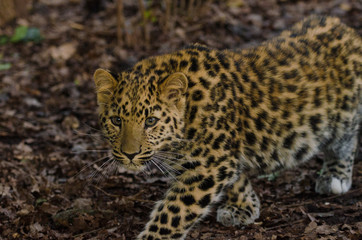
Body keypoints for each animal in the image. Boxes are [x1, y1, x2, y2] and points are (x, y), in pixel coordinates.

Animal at [92, 15, 360, 239]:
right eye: (117, 120)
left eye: (150, 121)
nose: (130, 154)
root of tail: (344, 27)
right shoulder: (221, 159)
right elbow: (236, 178)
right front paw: (244, 206)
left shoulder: (210, 165)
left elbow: (174, 211)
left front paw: (153, 237)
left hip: (345, 113)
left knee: (347, 141)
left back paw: (335, 175)